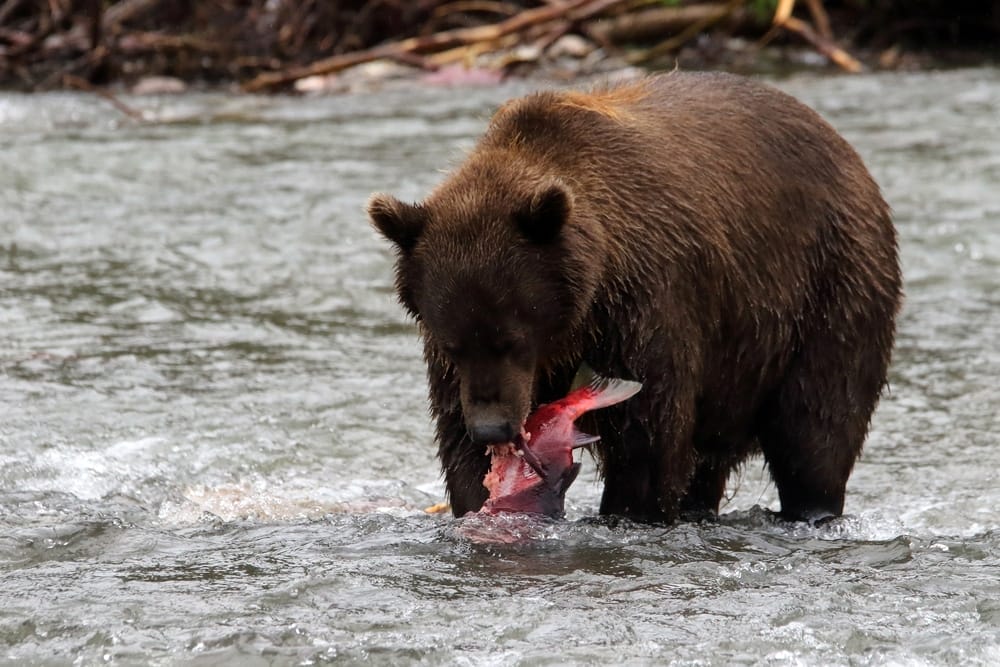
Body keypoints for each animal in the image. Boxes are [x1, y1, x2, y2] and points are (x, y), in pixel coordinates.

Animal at [368, 72, 902, 524]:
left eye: (511, 339)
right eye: (454, 342)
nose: (492, 429)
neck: (578, 315)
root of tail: (843, 145)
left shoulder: (645, 304)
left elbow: (647, 437)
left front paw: (628, 510)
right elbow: (455, 439)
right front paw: (480, 497)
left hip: (828, 286)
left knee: (816, 427)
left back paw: (812, 508)